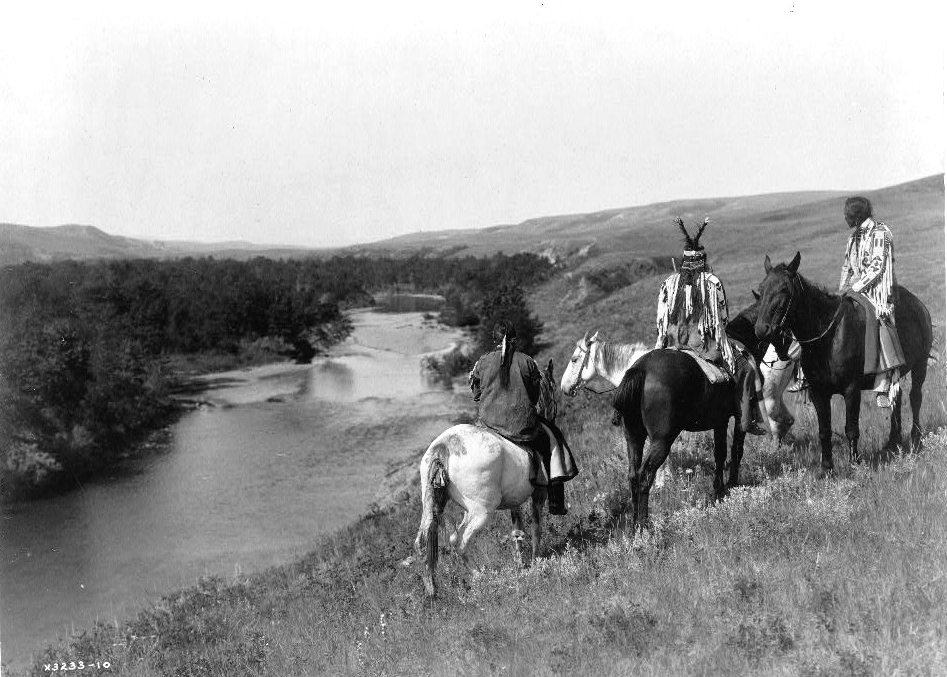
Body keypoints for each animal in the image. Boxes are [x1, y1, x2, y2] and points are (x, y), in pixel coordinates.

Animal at [416, 360, 564, 596]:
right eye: (553, 387)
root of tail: (443, 448)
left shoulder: (515, 502)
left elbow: (517, 530)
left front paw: (522, 562)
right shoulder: (538, 493)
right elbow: (536, 527)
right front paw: (536, 560)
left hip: (433, 505)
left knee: (425, 542)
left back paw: (433, 591)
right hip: (481, 511)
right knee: (460, 541)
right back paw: (481, 576)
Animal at [756, 251, 932, 468]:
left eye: (783, 289)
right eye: (761, 289)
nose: (761, 329)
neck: (828, 339)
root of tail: (918, 305)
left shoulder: (851, 389)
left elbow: (851, 428)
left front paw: (854, 463)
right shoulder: (818, 392)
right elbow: (824, 431)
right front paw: (827, 468)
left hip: (920, 365)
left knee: (915, 397)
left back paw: (916, 437)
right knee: (896, 400)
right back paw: (893, 441)